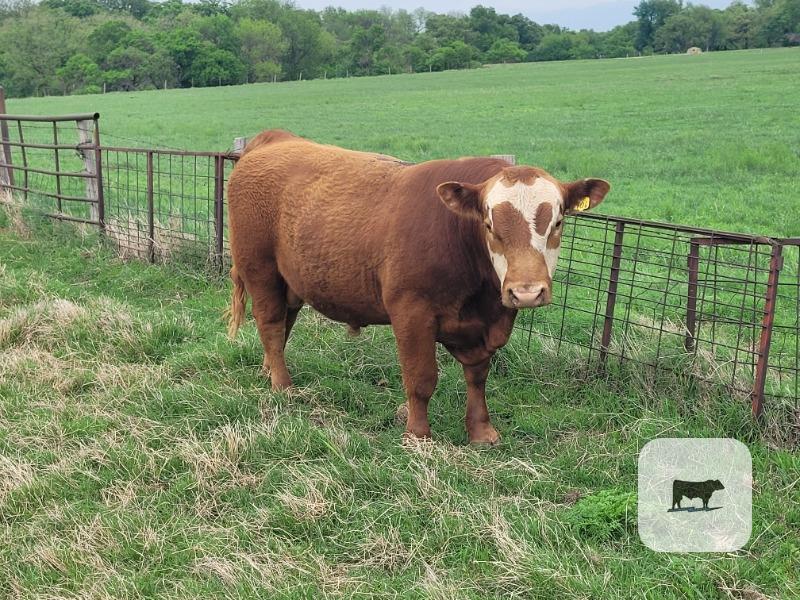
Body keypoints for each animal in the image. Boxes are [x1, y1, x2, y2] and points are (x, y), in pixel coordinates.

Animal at [226, 130, 610, 444]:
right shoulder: (411, 312)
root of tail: (274, 139)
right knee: (271, 323)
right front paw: (418, 435)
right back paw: (282, 385)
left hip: (290, 279)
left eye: (557, 222)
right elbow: (422, 378)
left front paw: (481, 431)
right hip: (259, 268)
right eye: (488, 224)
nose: (526, 292)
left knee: (283, 323)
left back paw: (269, 369)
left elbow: (478, 377)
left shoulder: (485, 324)